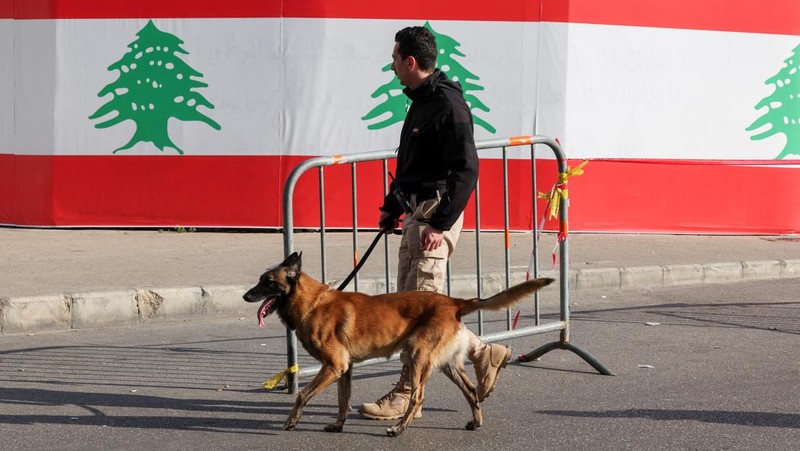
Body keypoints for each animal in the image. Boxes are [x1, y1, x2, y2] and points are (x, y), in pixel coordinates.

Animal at [244, 252, 552, 436]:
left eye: (267, 281)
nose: (246, 296)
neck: (312, 303)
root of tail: (454, 302)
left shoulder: (334, 366)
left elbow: (302, 395)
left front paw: (291, 421)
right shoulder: (344, 370)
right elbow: (344, 401)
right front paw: (338, 425)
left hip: (417, 357)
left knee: (418, 397)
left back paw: (399, 429)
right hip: (446, 365)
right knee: (471, 390)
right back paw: (475, 421)